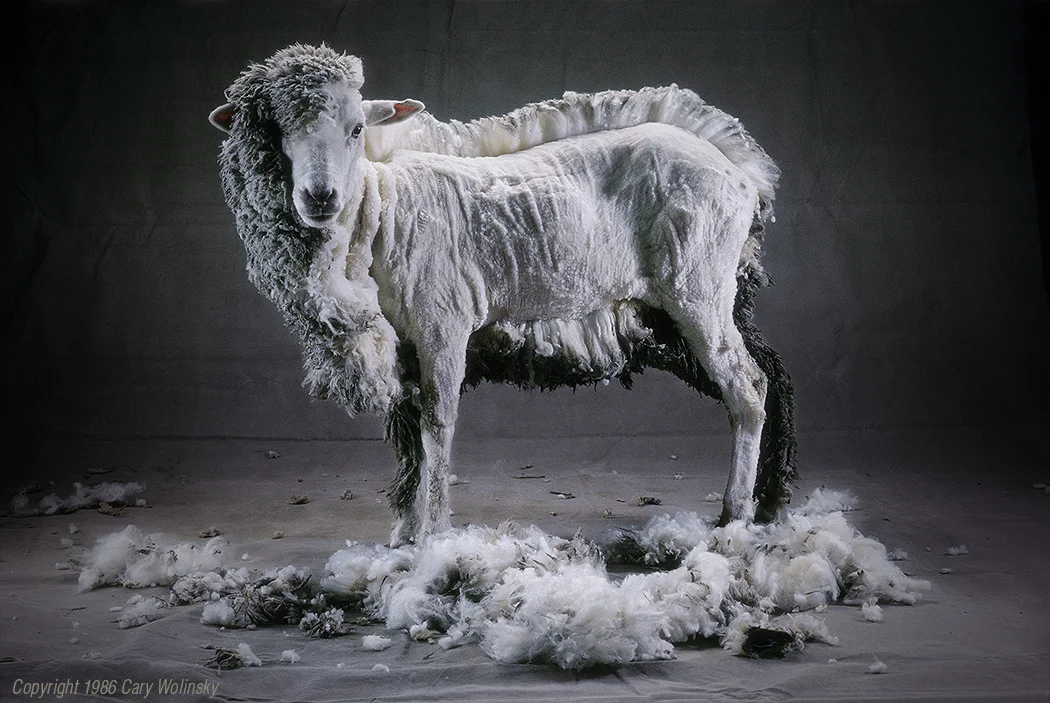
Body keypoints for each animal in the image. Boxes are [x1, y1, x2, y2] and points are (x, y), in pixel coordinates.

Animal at [209, 44, 796, 546]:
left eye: (356, 129)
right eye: (278, 133)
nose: (320, 198)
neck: (380, 212)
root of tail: (742, 175)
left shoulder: (442, 322)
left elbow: (437, 422)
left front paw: (435, 533)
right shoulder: (400, 341)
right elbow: (406, 432)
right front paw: (404, 532)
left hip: (698, 284)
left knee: (748, 385)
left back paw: (735, 513)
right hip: (699, 297)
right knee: (762, 373)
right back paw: (764, 502)